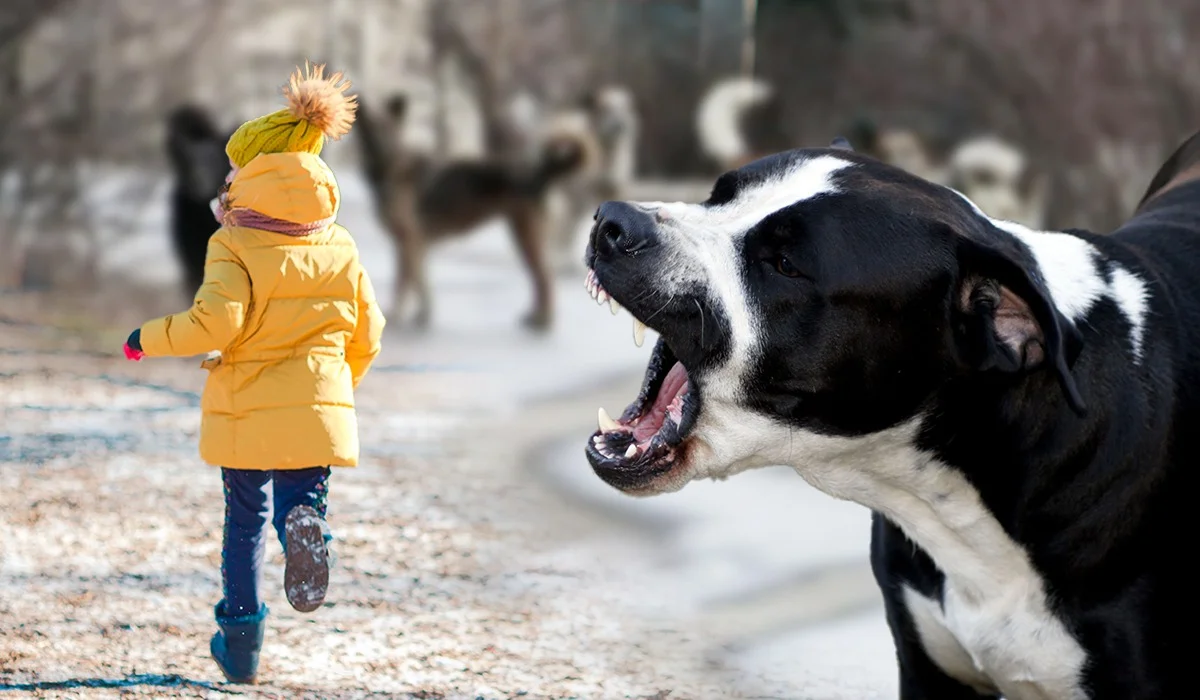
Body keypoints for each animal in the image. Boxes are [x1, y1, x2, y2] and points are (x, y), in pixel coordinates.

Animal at [355, 95, 600, 331]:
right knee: (540, 279)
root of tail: (541, 171)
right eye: (369, 133)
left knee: (545, 279)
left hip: (526, 237)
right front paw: (422, 315)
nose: (380, 154)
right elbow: (420, 284)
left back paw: (543, 320)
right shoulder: (413, 246)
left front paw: (398, 315)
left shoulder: (409, 243)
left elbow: (404, 284)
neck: (395, 166)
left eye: (387, 129)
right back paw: (536, 316)